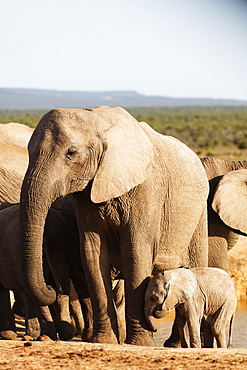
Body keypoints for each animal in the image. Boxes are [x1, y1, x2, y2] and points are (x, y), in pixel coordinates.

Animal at [19, 105, 209, 346]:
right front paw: (103, 341)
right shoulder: (87, 195)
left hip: (199, 215)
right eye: (29, 152)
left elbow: (135, 252)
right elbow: (92, 252)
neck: (97, 119)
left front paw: (139, 344)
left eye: (71, 153)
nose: (52, 286)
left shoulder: (146, 188)